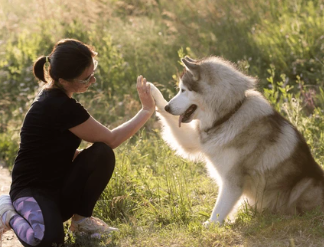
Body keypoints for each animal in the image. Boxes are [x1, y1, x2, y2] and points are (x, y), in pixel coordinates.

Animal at [149, 56, 324, 226]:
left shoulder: (233, 180)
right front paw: (150, 90)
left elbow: (220, 208)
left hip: (304, 185)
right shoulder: (193, 140)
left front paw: (211, 224)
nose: (168, 108)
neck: (230, 115)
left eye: (183, 90)